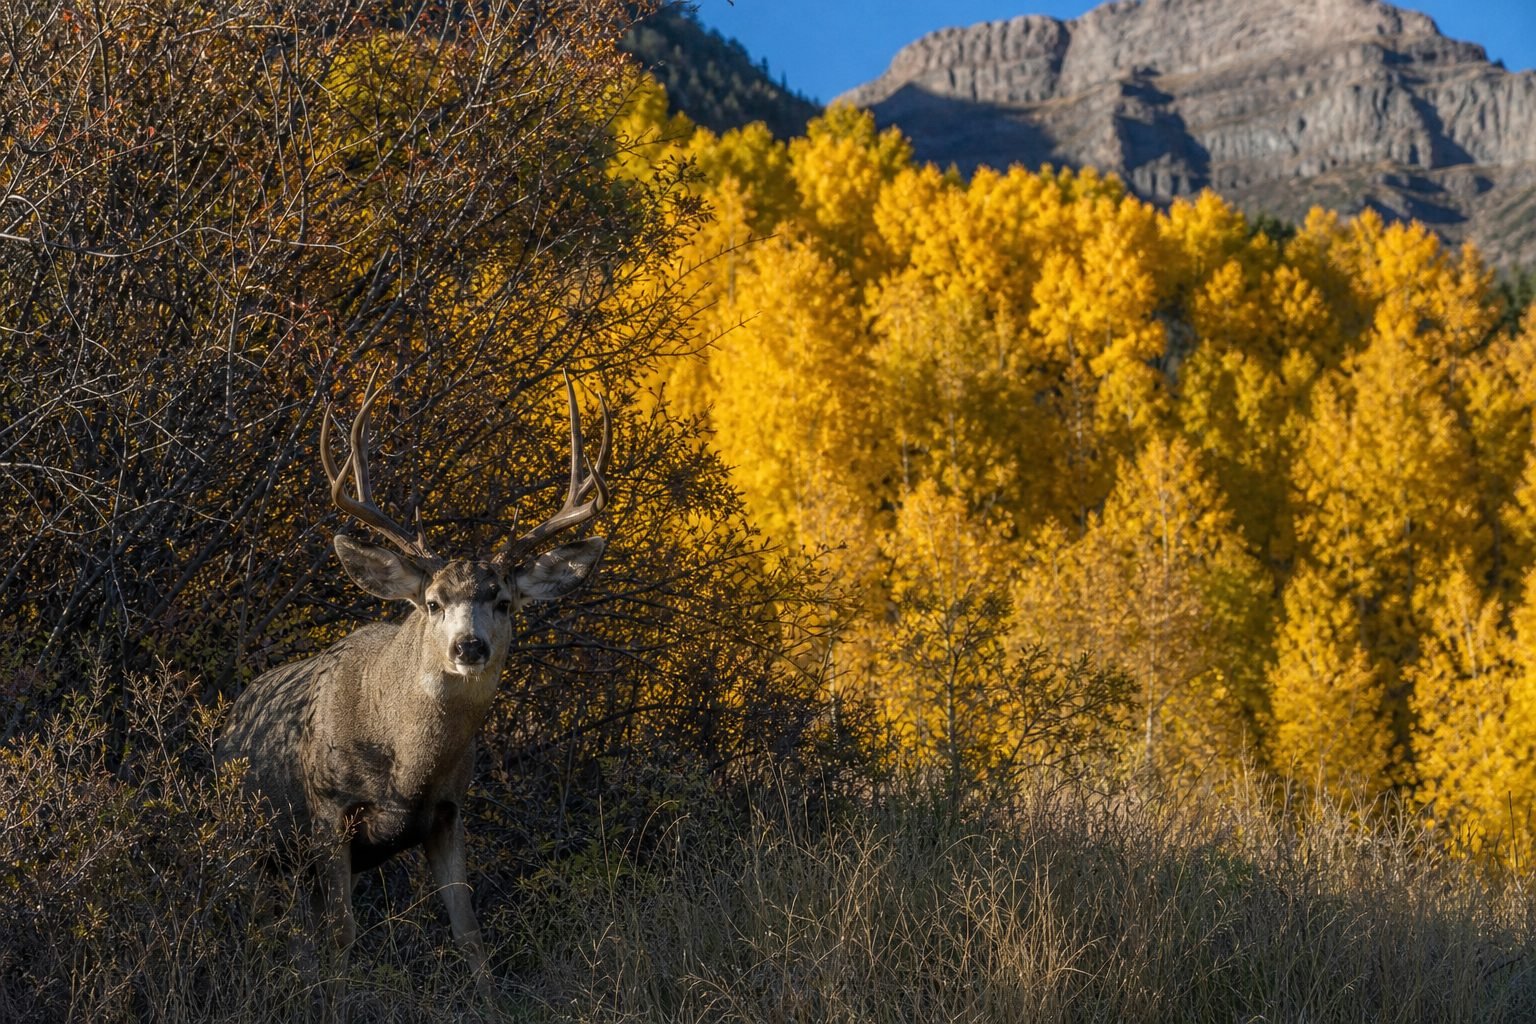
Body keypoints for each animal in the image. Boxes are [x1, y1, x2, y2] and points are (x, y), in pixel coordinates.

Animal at [216, 372, 610, 985]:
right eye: (432, 602)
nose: (469, 646)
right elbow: (343, 934)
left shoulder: (449, 810)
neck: (406, 762)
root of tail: (232, 717)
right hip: (243, 833)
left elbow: (470, 936)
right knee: (262, 917)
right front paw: (336, 995)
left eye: (503, 601)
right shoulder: (329, 807)